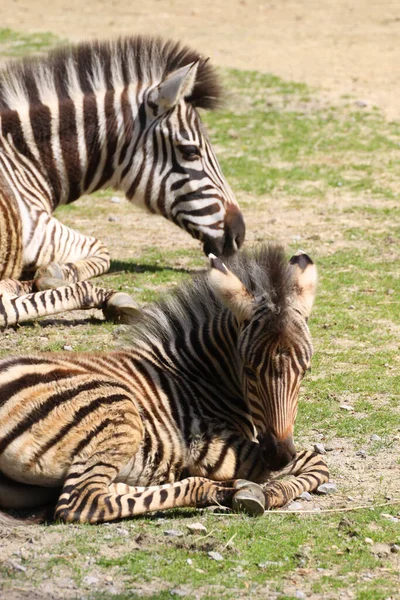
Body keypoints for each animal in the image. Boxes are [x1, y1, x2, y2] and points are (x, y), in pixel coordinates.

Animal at [0, 35, 244, 328]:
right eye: (190, 151)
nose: (239, 234)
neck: (23, 158)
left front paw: (49, 274)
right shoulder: (40, 229)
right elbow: (102, 249)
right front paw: (55, 273)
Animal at [0, 245, 328, 524]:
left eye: (305, 370)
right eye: (249, 370)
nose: (279, 456)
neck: (198, 375)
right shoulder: (212, 448)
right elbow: (318, 462)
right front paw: (271, 491)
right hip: (117, 407)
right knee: (81, 501)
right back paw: (228, 491)